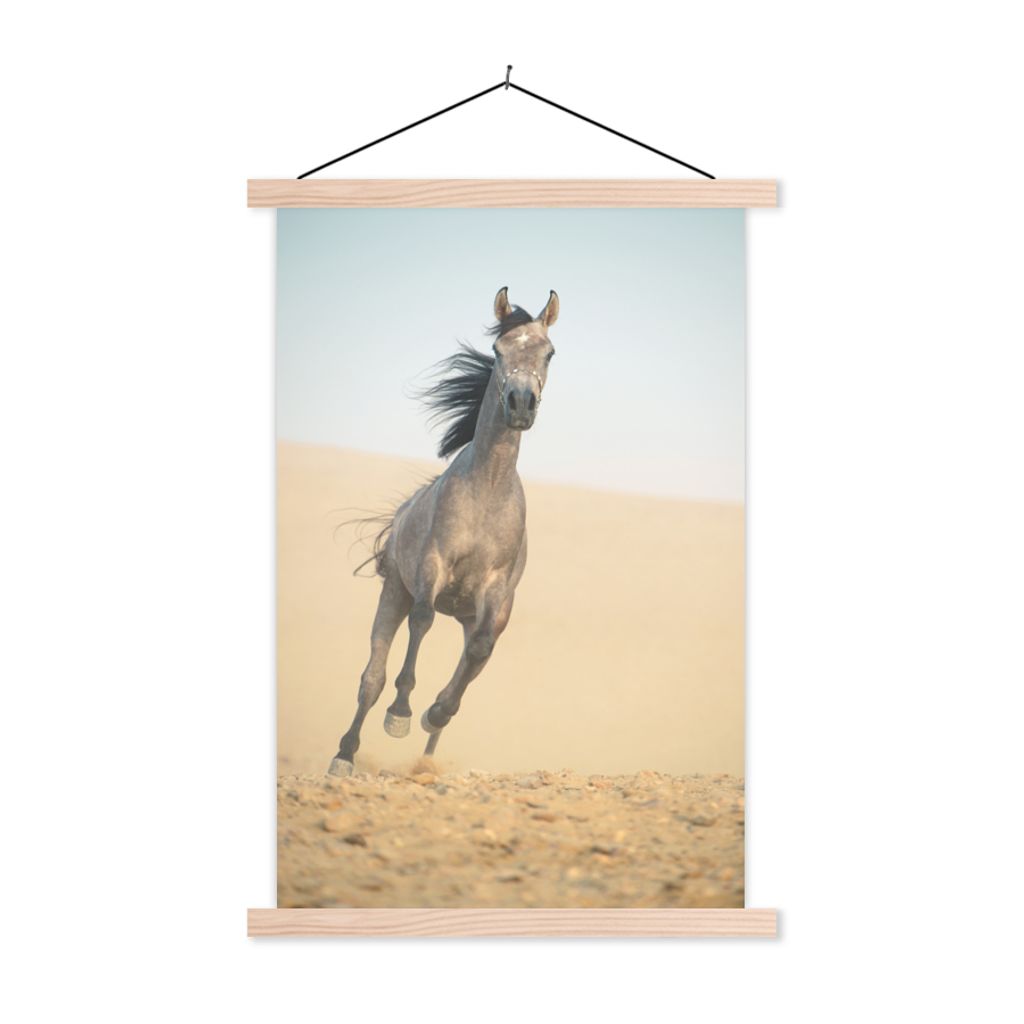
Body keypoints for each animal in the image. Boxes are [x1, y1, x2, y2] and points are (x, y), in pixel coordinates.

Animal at [328, 286, 559, 776]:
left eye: (549, 352)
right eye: (497, 350)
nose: (521, 404)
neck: (487, 489)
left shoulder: (495, 593)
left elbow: (479, 652)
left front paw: (435, 712)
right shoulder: (432, 569)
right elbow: (422, 621)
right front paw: (400, 715)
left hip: (471, 613)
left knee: (470, 656)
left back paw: (430, 748)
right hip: (393, 593)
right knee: (372, 677)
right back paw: (344, 754)